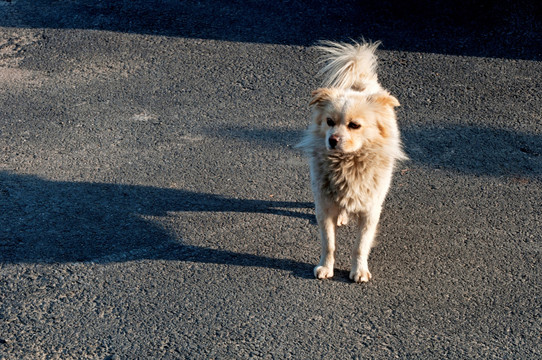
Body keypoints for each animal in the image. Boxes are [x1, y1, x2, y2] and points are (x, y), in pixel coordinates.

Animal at [298, 39, 408, 282]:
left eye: (354, 125)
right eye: (329, 122)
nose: (333, 140)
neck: (348, 164)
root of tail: (360, 81)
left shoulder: (370, 212)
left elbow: (360, 246)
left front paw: (359, 271)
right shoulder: (323, 207)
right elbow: (329, 243)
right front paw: (326, 267)